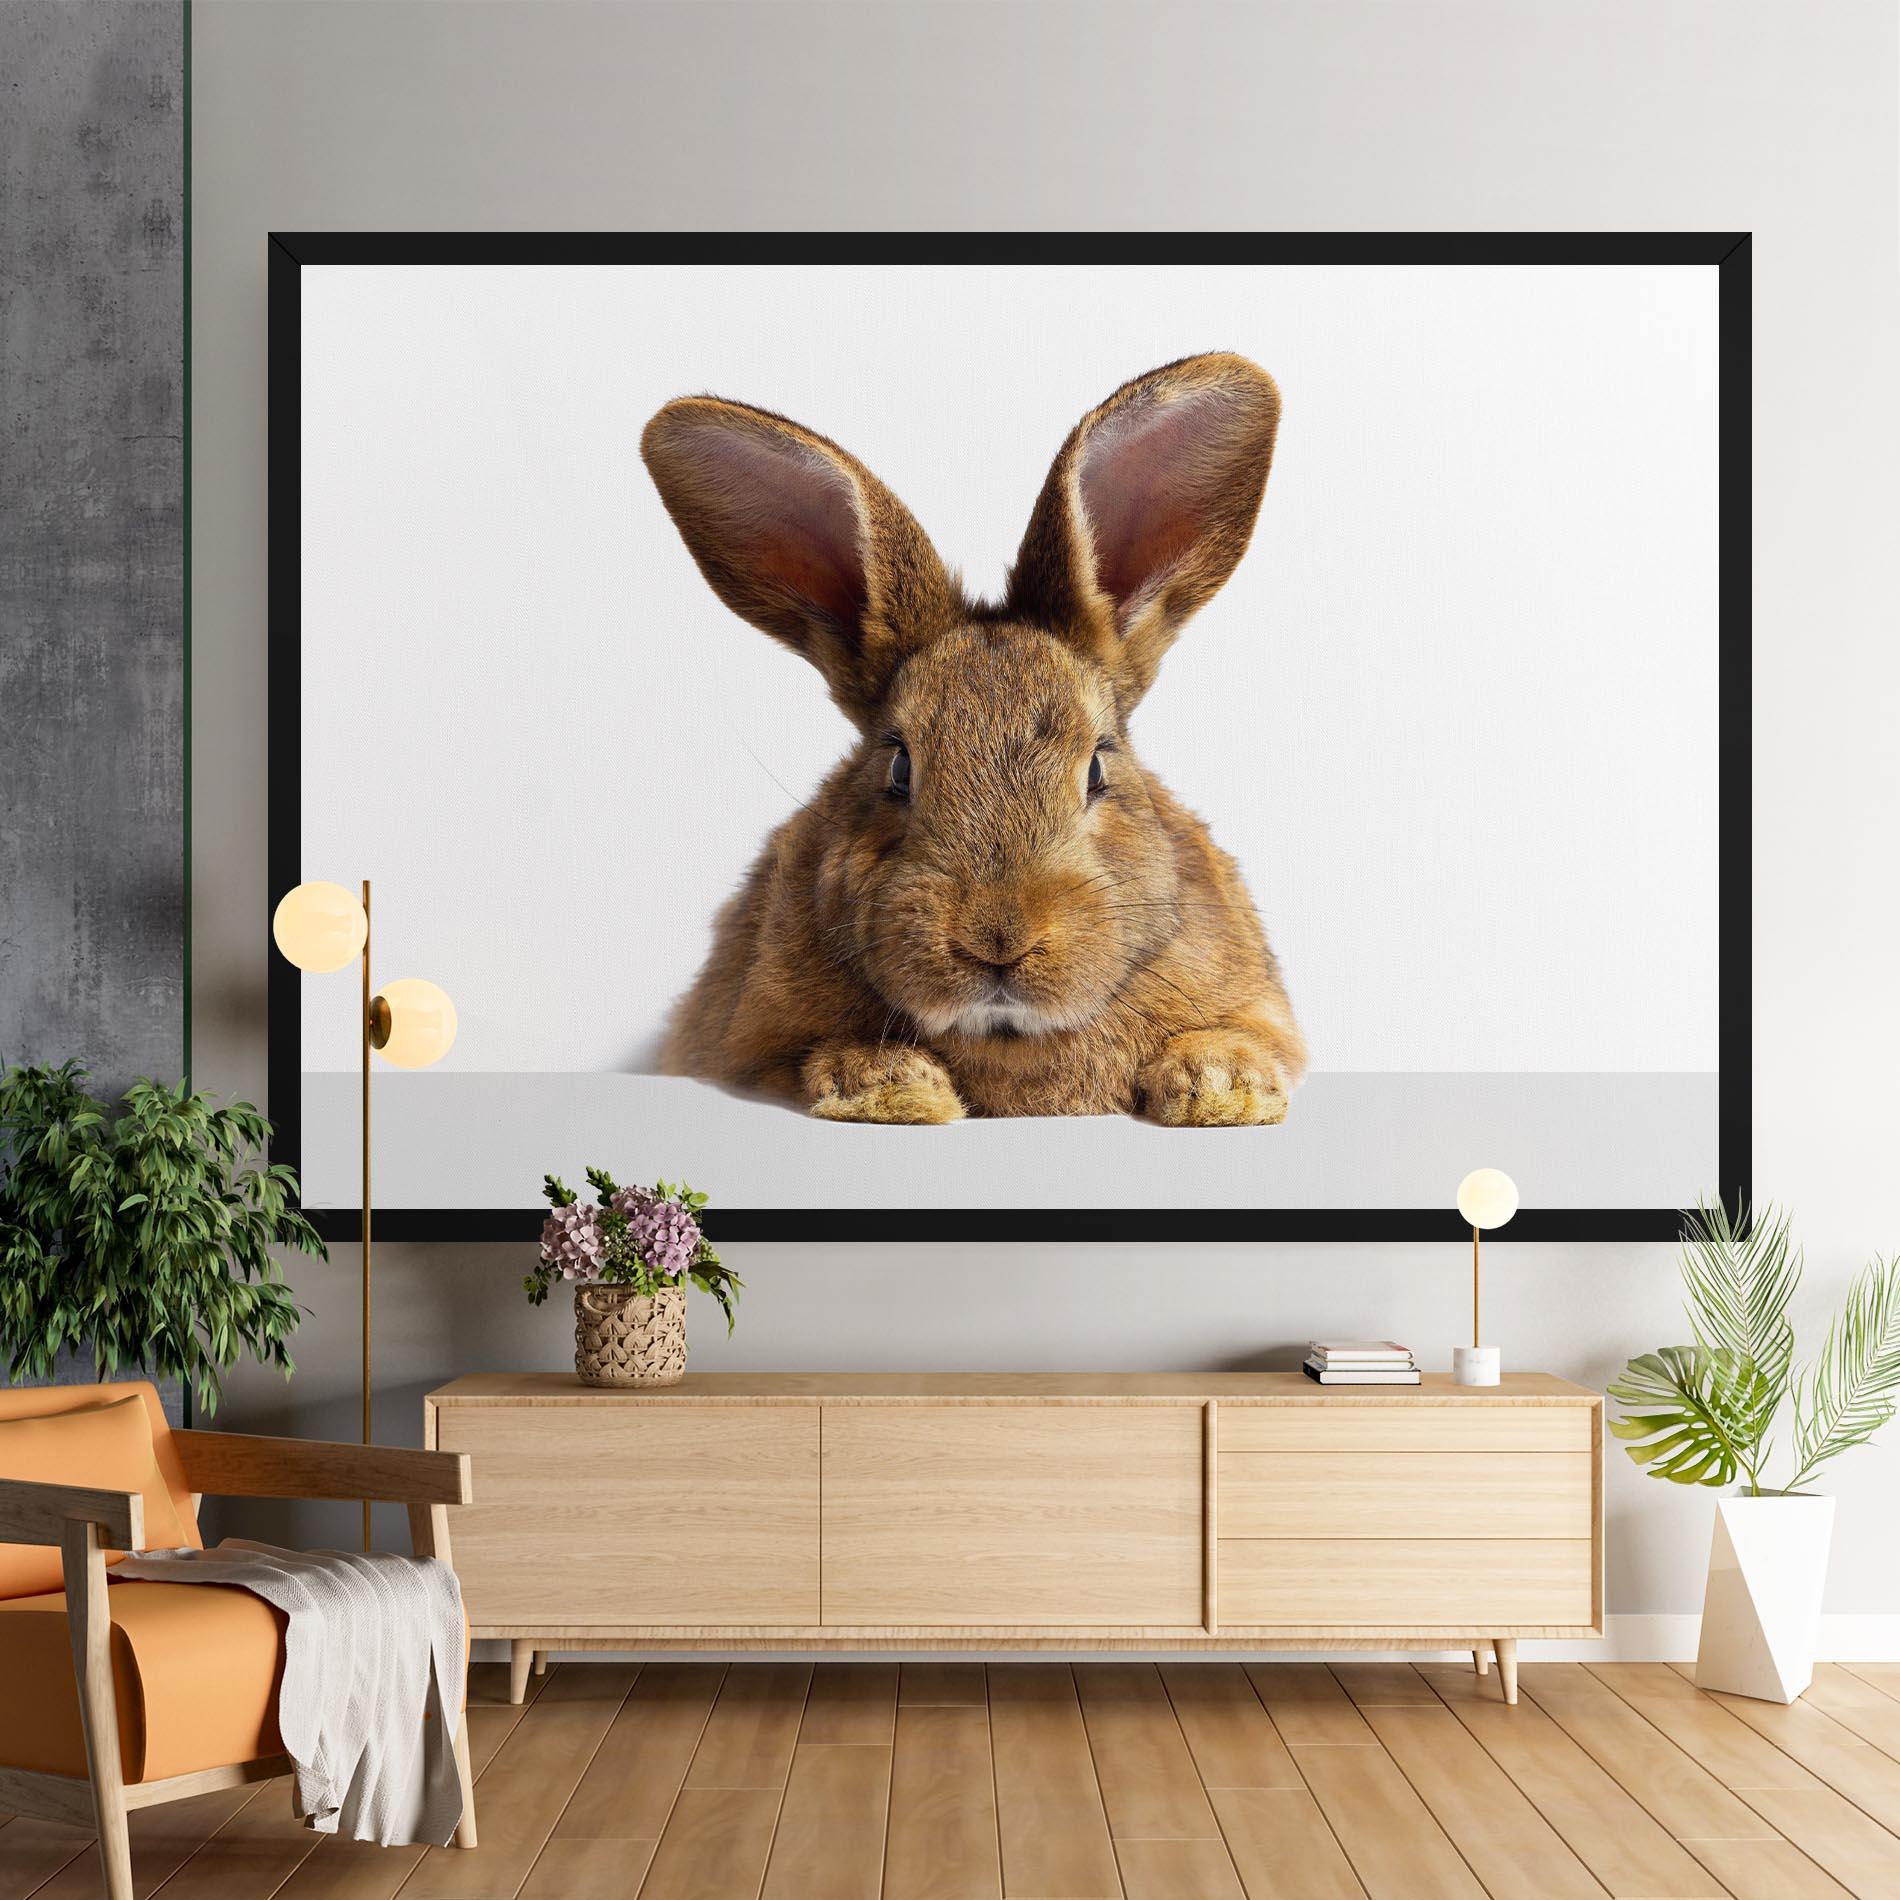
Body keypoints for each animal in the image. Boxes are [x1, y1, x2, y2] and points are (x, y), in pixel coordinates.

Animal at [640, 351, 1305, 1126]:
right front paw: (891, 1086)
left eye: (1097, 769)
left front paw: (1221, 1085)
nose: (997, 941)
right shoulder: (746, 1046)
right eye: (898, 768)